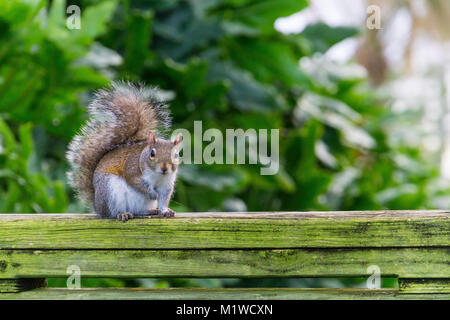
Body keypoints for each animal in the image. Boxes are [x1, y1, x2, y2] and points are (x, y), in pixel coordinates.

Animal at [66, 81, 182, 221]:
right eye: (152, 153)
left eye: (176, 155)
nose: (164, 168)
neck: (158, 175)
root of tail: (98, 207)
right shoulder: (132, 169)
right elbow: (135, 181)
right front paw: (152, 193)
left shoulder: (166, 184)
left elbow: (163, 199)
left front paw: (165, 210)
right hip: (110, 191)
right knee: (112, 213)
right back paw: (122, 213)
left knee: (139, 212)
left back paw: (152, 211)